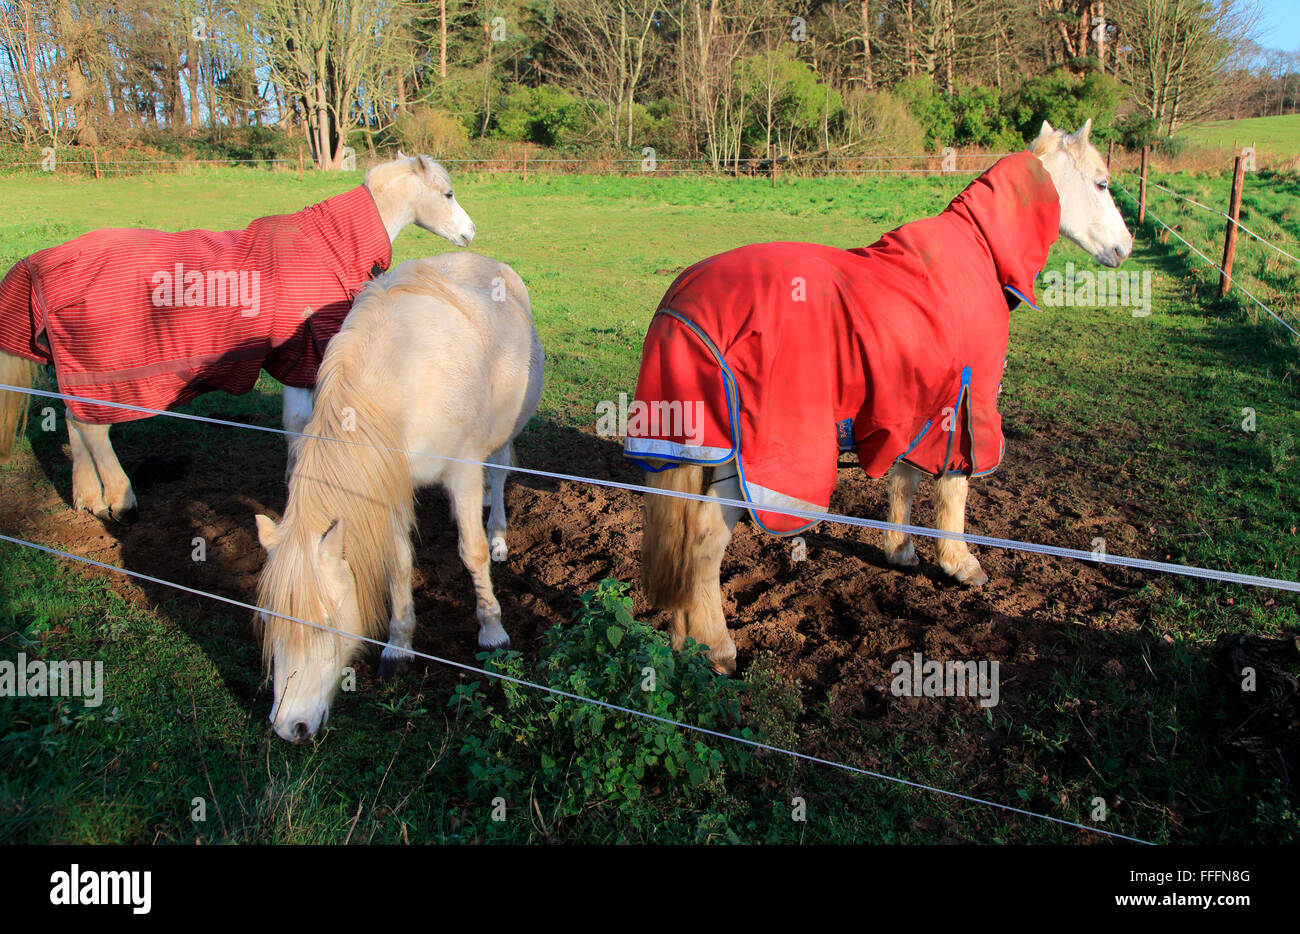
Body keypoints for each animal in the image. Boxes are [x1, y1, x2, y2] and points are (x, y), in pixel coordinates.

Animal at [0, 151, 478, 525]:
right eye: (448, 193)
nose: (470, 233)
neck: (328, 246)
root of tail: (44, 260)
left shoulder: (295, 359)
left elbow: (294, 425)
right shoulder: (306, 356)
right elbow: (301, 425)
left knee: (74, 422)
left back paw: (88, 498)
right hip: (104, 372)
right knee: (92, 428)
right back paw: (120, 500)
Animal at [253, 252, 543, 744]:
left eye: (323, 625)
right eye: (273, 622)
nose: (291, 727)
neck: (403, 377)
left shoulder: (463, 471)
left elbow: (471, 552)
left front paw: (492, 632)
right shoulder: (386, 485)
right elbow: (397, 564)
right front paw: (398, 647)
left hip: (504, 433)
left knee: (500, 473)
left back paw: (499, 533)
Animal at [626, 120, 1128, 671]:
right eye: (1102, 183)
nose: (1126, 248)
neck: (979, 255)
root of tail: (680, 304)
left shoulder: (923, 404)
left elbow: (906, 481)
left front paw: (902, 550)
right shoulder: (967, 401)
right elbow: (954, 488)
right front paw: (960, 563)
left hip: (699, 450)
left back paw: (683, 641)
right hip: (748, 466)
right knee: (703, 544)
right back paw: (717, 648)